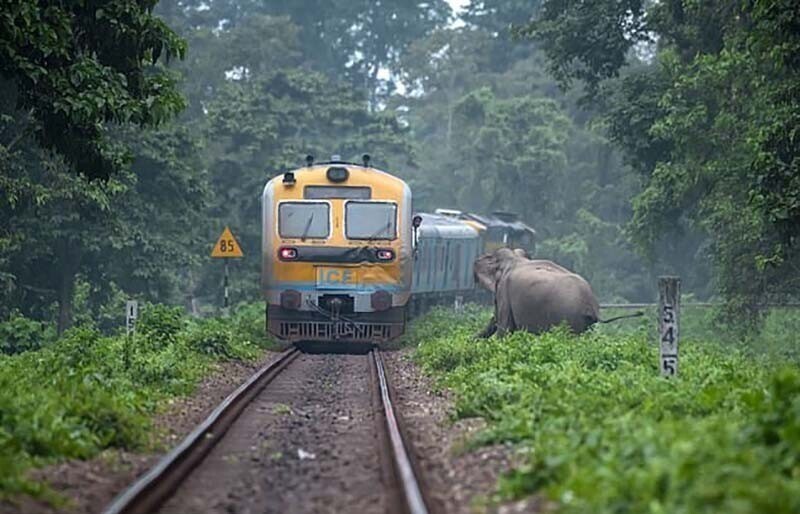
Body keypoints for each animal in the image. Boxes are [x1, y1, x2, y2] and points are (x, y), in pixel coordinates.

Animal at [472, 247, 640, 336]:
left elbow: (505, 329)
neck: (513, 258)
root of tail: (591, 305)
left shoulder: (504, 292)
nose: (471, 339)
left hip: (569, 318)